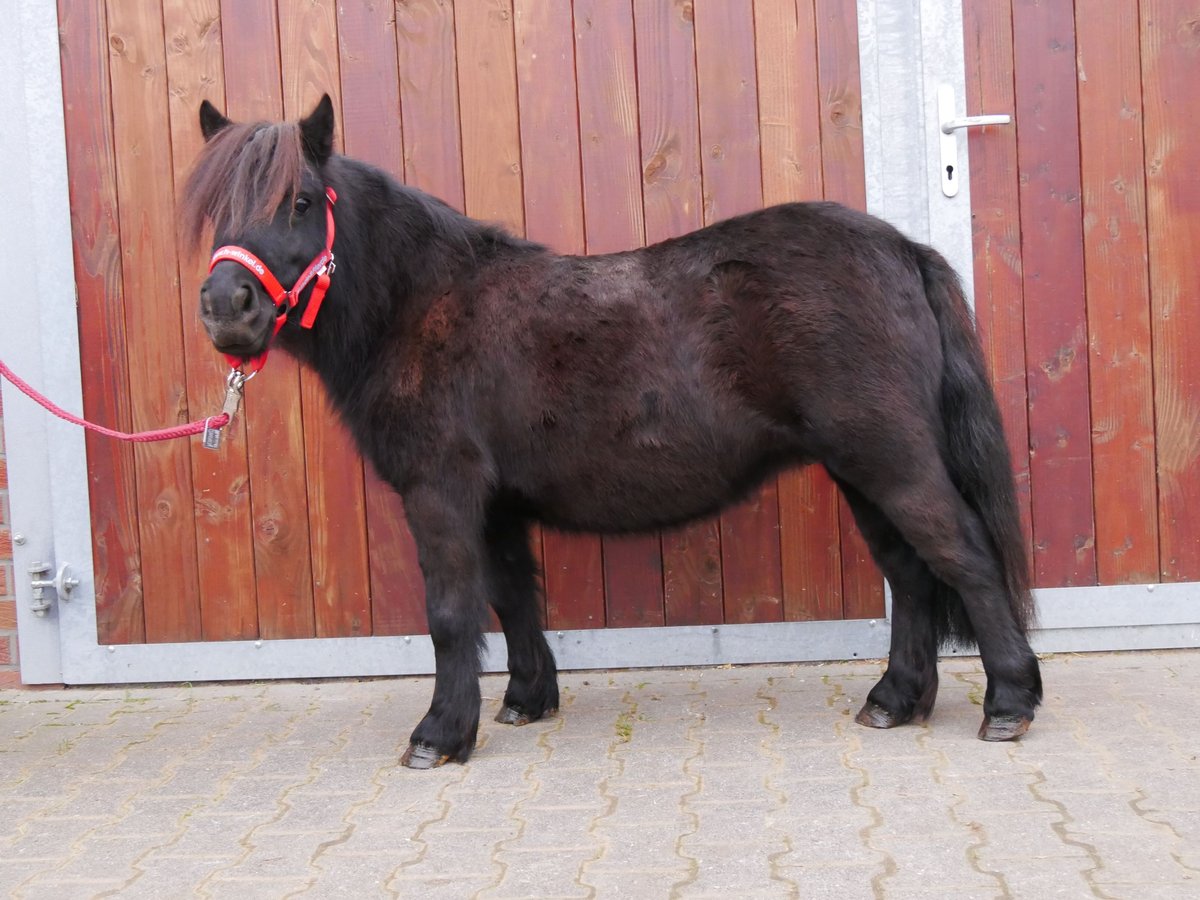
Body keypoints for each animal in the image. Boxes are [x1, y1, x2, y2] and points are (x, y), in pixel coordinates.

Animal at [184, 93, 1041, 768]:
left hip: (891, 460)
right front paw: (527, 699)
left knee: (961, 555)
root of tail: (904, 249)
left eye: (300, 201)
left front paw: (440, 734)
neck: (421, 305)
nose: (227, 308)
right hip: (861, 469)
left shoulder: (441, 493)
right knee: (911, 572)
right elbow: (512, 596)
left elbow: (453, 612)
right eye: (216, 209)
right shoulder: (496, 505)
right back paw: (896, 699)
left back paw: (1009, 701)